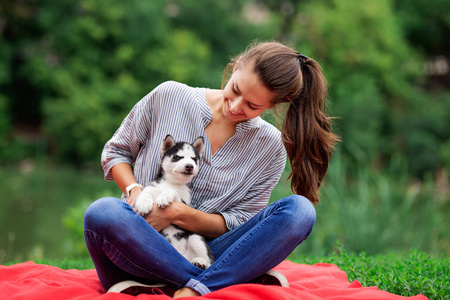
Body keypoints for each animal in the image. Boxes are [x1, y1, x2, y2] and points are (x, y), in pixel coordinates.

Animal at [134, 135, 214, 270]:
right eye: (177, 157)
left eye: (194, 159)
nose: (189, 166)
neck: (172, 183)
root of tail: (184, 258)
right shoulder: (152, 187)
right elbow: (146, 192)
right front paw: (144, 203)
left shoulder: (185, 205)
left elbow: (173, 192)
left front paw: (165, 196)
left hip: (195, 238)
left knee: (210, 262)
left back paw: (200, 262)